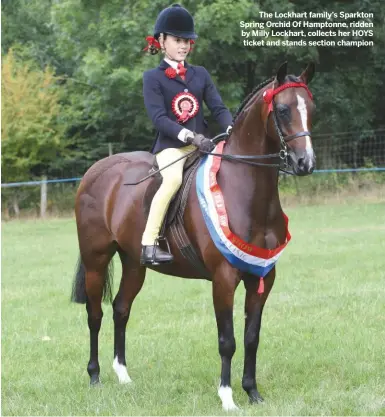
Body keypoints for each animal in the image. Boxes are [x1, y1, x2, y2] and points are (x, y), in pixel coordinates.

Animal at [71, 61, 316, 410]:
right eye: (282, 110)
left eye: (312, 108)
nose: (304, 163)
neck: (245, 192)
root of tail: (96, 170)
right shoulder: (223, 279)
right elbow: (227, 340)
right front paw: (227, 397)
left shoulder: (263, 277)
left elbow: (251, 337)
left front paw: (253, 392)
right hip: (96, 260)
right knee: (95, 314)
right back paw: (95, 376)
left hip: (134, 263)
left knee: (121, 309)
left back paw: (124, 377)